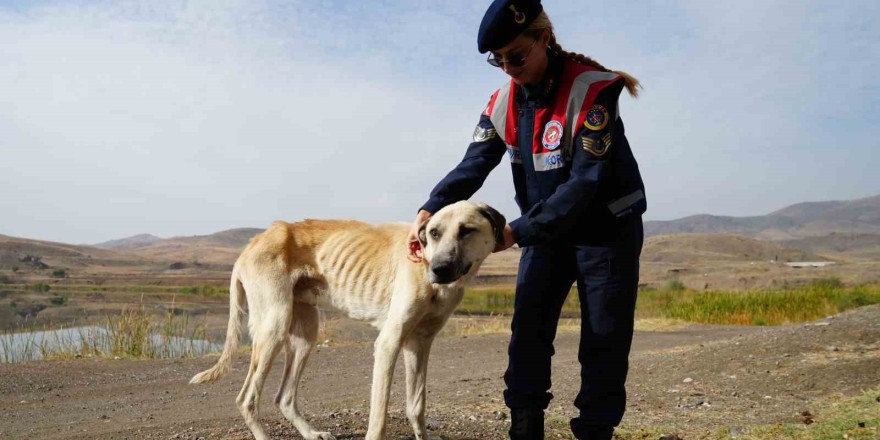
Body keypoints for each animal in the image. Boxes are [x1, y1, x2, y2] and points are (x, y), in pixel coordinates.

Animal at [192, 202, 508, 440]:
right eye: (433, 233)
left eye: (467, 231)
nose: (438, 270)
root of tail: (252, 244)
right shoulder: (389, 343)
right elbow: (379, 417)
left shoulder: (419, 344)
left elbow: (416, 407)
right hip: (274, 328)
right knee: (246, 399)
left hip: (305, 335)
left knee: (284, 397)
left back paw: (311, 433)